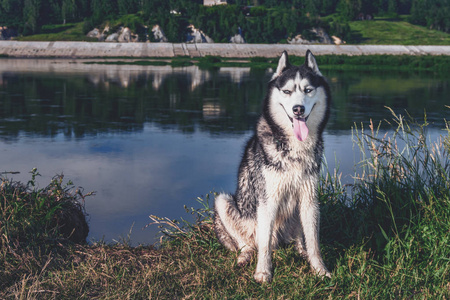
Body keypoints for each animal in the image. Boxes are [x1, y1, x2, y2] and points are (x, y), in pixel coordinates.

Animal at [214, 50, 330, 282]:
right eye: (286, 91)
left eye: (308, 90)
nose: (298, 109)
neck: (294, 147)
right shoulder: (268, 199)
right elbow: (265, 244)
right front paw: (263, 272)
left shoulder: (309, 198)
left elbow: (314, 242)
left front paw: (319, 269)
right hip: (224, 203)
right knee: (249, 244)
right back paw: (245, 256)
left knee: (298, 239)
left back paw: (300, 251)